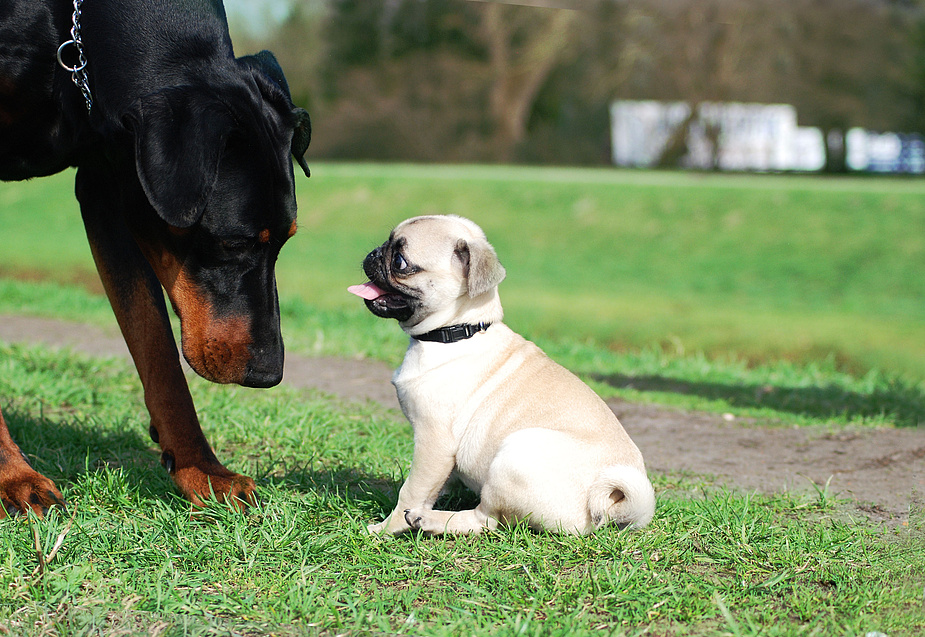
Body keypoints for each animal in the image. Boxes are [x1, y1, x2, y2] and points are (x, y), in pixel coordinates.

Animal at [0, 0, 312, 516]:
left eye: (285, 241)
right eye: (232, 243)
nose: (269, 374)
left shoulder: (109, 184)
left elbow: (156, 344)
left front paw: (203, 470)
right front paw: (14, 477)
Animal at [348, 216, 656, 536]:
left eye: (399, 261)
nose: (374, 253)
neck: (459, 331)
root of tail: (609, 508)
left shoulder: (434, 441)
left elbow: (411, 489)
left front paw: (386, 528)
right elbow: (436, 484)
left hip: (515, 454)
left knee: (485, 519)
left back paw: (428, 520)